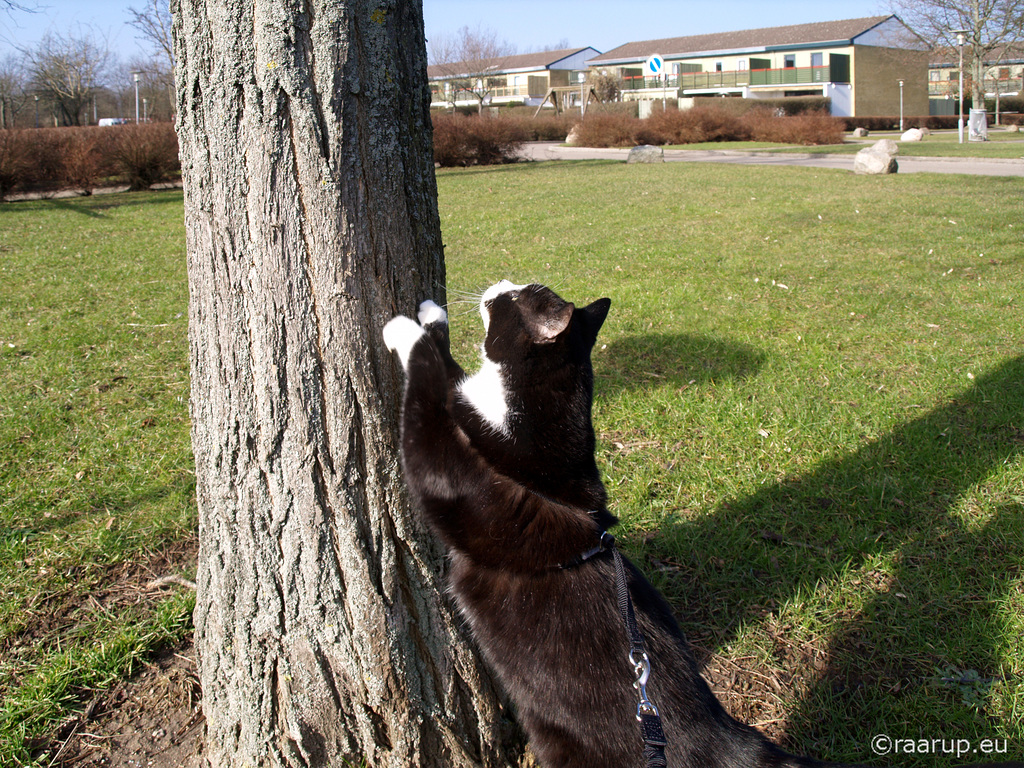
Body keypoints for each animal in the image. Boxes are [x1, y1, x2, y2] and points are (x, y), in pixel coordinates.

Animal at [382, 282, 1015, 768]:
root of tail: (727, 739)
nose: (497, 283)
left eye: (514, 298)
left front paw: (406, 328)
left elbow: (429, 393)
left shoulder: (450, 467)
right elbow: (449, 371)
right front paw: (433, 315)